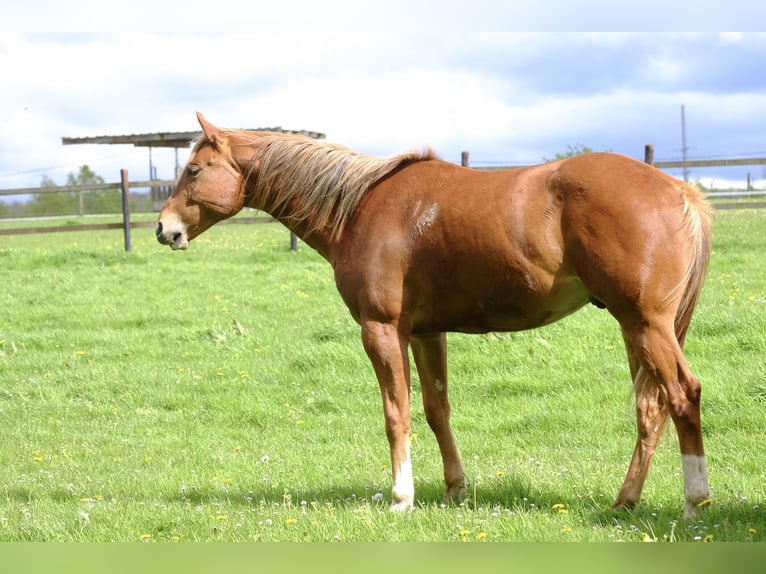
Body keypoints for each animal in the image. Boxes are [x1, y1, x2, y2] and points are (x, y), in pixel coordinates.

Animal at [156, 112, 712, 516]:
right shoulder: (426, 333)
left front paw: (402, 498)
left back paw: (694, 502)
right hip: (637, 328)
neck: (360, 207)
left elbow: (396, 413)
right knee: (651, 407)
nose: (164, 229)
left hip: (645, 324)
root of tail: (678, 190)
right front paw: (453, 489)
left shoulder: (382, 331)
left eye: (194, 170)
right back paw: (625, 502)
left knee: (682, 395)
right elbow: (436, 410)